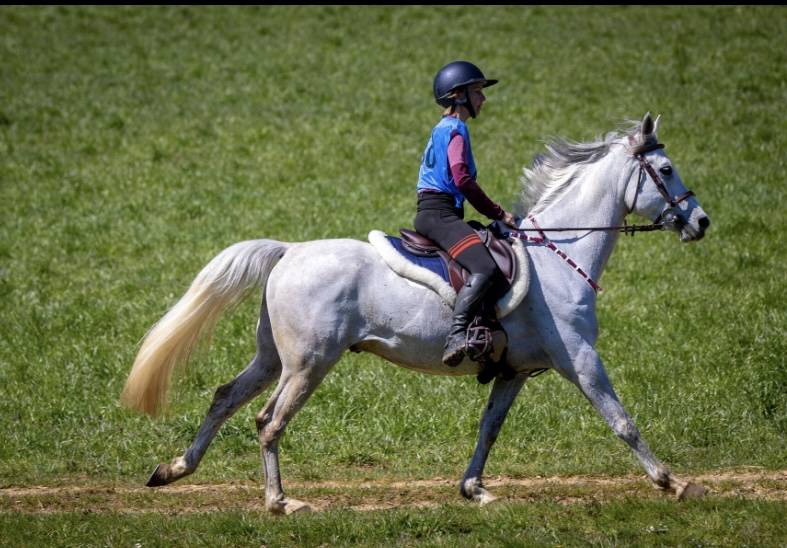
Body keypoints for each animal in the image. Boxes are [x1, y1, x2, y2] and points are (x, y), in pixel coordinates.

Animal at [121, 113, 711, 514]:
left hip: (274, 358)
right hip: (308, 363)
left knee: (225, 397)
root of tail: (289, 251)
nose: (701, 222)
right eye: (665, 168)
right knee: (269, 420)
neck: (557, 256)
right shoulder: (581, 360)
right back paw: (280, 502)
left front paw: (474, 489)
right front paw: (676, 482)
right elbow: (622, 421)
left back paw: (173, 469)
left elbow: (489, 429)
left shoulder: (515, 371)